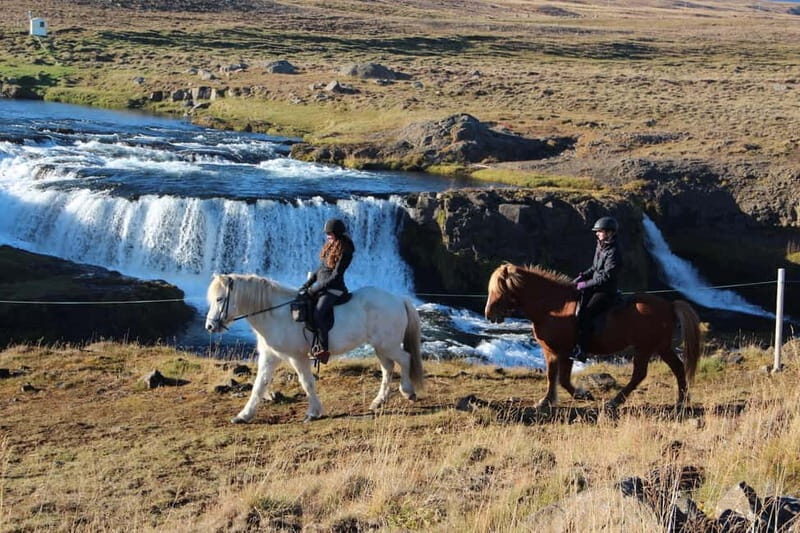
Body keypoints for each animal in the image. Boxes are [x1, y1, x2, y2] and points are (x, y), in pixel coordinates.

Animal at [205, 274, 424, 423]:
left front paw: (313, 412)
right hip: (381, 346)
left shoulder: (297, 357)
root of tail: (398, 298)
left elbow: (306, 382)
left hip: (388, 344)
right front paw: (244, 415)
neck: (276, 314)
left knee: (405, 359)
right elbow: (259, 385)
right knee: (388, 368)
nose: (209, 326)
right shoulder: (270, 356)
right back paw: (379, 401)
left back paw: (408, 392)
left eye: (219, 299)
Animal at [484, 263, 701, 412]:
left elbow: (558, 378)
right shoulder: (557, 352)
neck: (554, 307)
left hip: (645, 348)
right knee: (678, 368)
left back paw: (615, 401)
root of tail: (669, 305)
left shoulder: (560, 351)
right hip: (661, 347)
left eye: (499, 288)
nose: (489, 314)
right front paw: (559, 398)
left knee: (640, 374)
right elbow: (557, 377)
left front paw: (569, 397)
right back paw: (681, 401)